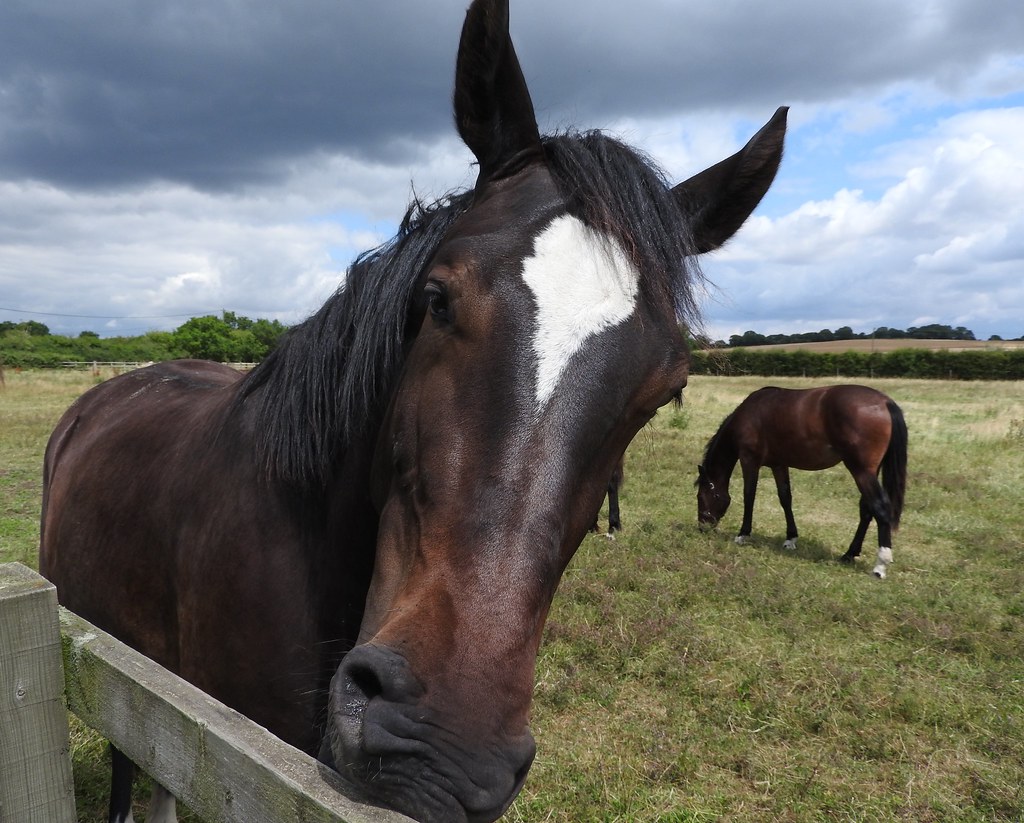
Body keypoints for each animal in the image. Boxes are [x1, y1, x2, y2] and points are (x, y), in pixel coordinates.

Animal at [695, 385, 907, 578]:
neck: (750, 413)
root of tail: (885, 402)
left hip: (861, 471)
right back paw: (849, 554)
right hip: (869, 472)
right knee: (866, 509)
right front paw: (791, 538)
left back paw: (880, 565)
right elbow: (785, 498)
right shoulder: (779, 465)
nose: (703, 526)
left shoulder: (749, 460)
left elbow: (749, 496)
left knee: (880, 507)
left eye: (701, 496)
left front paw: (743, 534)